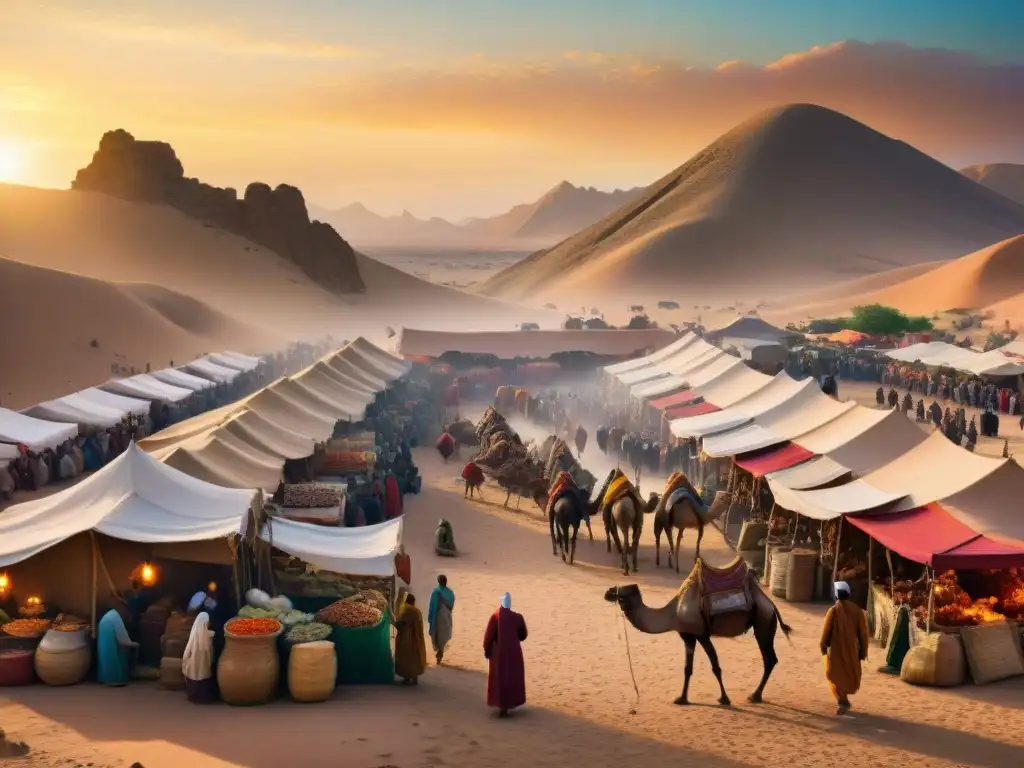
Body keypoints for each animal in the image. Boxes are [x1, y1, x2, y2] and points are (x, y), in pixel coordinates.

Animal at [602, 552, 794, 708]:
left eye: (620, 592)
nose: (607, 593)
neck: (673, 613)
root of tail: (772, 605)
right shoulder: (688, 636)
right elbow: (688, 668)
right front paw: (681, 698)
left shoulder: (701, 634)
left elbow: (715, 666)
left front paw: (724, 699)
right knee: (770, 659)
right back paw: (756, 695)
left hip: (763, 622)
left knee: (770, 659)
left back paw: (754, 695)